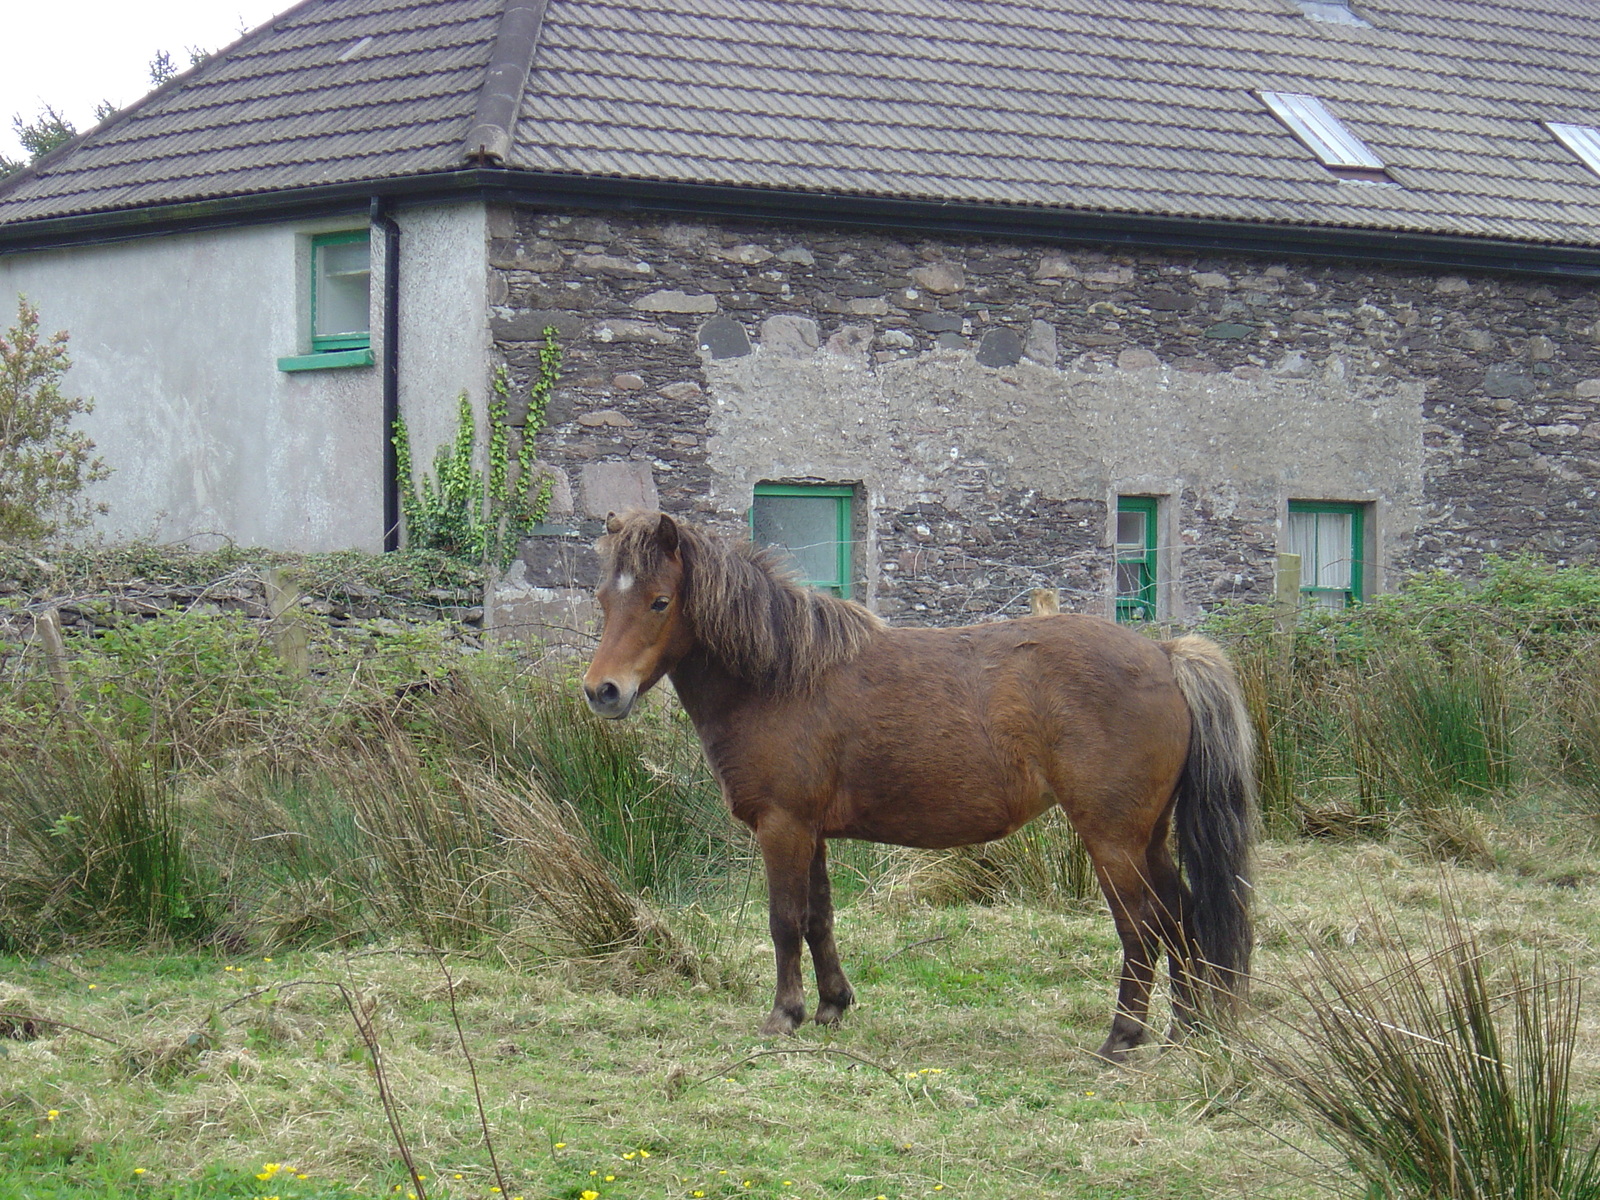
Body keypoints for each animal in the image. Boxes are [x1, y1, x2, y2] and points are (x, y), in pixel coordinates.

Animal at [582, 508, 1254, 1062]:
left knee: (1143, 926)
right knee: (1181, 916)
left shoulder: (783, 826)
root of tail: (1166, 656)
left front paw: (783, 1015)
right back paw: (1185, 1032)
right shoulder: (811, 831)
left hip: (1113, 840)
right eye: (602, 598)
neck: (781, 678)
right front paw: (831, 1004)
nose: (602, 692)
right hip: (1149, 837)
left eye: (660, 602)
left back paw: (1122, 1036)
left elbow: (784, 920)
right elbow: (819, 917)